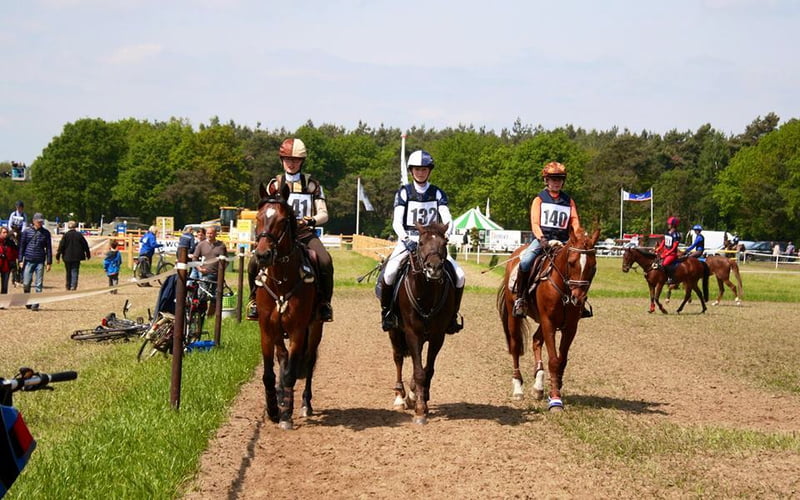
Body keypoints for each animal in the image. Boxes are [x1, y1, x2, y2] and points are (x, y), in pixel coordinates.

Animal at [253, 184, 322, 430]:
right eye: (258, 218)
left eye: (283, 221)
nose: (263, 255)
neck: (282, 281)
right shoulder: (266, 329)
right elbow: (269, 374)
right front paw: (274, 409)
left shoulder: (297, 331)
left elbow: (292, 372)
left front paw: (286, 416)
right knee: (282, 358)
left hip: (316, 329)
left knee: (308, 362)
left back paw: (304, 405)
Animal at [388, 221, 456, 424]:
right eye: (421, 242)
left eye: (445, 242)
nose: (434, 268)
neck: (426, 292)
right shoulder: (412, 333)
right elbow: (419, 371)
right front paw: (419, 410)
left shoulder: (437, 336)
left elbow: (427, 370)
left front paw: (421, 400)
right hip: (395, 332)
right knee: (398, 358)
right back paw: (399, 397)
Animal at [494, 227, 600, 410]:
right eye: (571, 262)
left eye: (593, 266)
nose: (578, 298)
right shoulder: (549, 322)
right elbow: (554, 361)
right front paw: (556, 399)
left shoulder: (570, 327)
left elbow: (562, 360)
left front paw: (555, 388)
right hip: (515, 317)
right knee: (515, 346)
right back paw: (518, 389)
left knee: (536, 340)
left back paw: (538, 386)